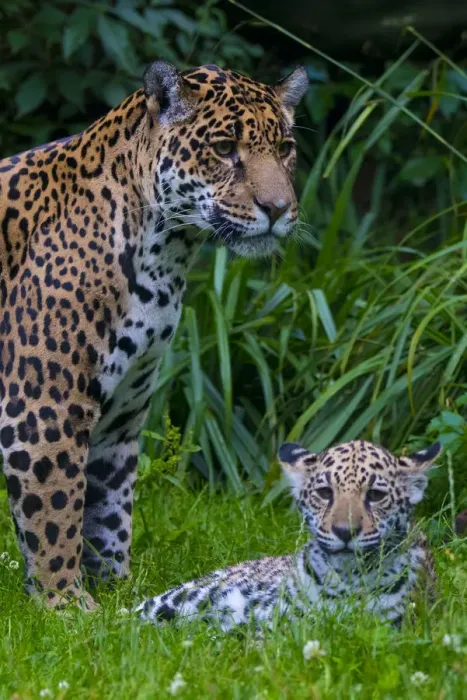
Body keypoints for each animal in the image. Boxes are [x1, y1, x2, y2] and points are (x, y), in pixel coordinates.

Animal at [0, 60, 309, 610]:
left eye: (284, 148)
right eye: (224, 148)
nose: (277, 209)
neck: (164, 254)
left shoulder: (122, 413)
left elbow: (108, 509)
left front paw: (115, 596)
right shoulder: (43, 409)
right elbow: (56, 511)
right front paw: (65, 605)